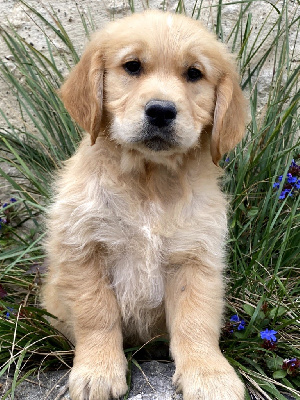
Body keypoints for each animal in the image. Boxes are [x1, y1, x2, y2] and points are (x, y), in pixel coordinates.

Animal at [42, 9, 248, 400]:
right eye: (132, 66)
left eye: (194, 74)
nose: (161, 111)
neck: (149, 180)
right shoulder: (84, 248)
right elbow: (97, 315)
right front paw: (97, 372)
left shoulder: (196, 257)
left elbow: (196, 322)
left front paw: (210, 375)